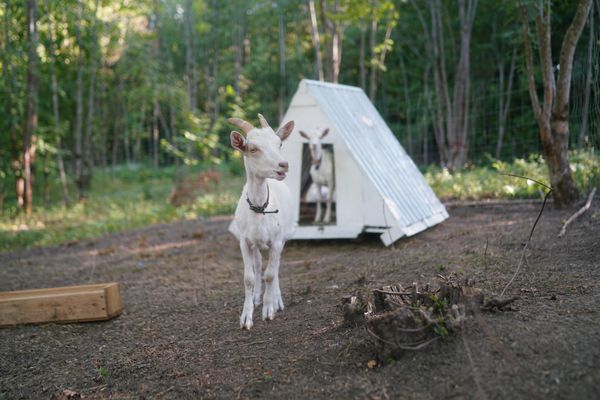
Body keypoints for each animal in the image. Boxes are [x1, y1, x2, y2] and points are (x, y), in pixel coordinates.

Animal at [230, 113, 296, 328]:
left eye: (279, 143)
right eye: (253, 148)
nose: (283, 165)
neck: (260, 208)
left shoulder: (276, 241)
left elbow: (270, 273)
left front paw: (269, 310)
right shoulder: (244, 241)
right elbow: (249, 278)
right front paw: (246, 317)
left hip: (283, 238)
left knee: (275, 267)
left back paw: (276, 300)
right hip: (256, 243)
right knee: (259, 264)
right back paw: (257, 297)